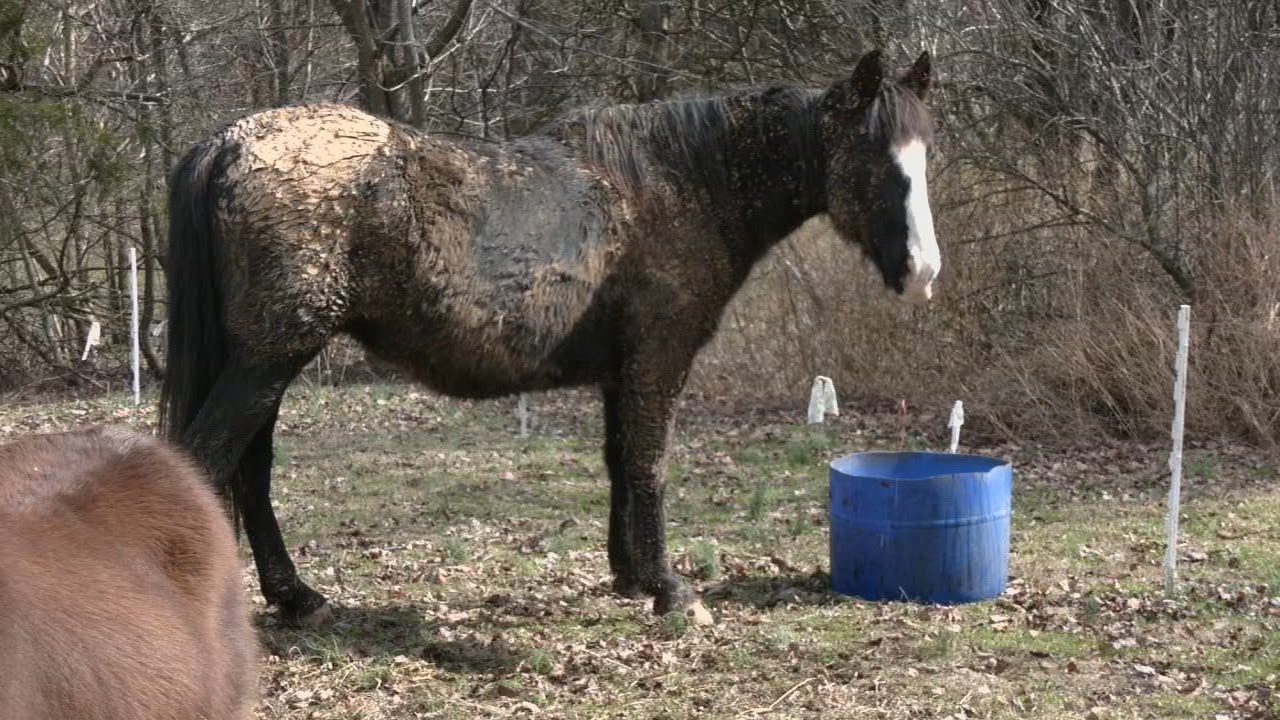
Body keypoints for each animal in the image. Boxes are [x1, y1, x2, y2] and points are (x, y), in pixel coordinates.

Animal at [158, 48, 941, 626]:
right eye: (874, 157)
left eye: (922, 156)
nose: (924, 271)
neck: (679, 184)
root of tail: (228, 143)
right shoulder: (658, 359)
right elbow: (650, 465)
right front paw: (671, 590)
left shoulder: (622, 371)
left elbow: (620, 463)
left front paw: (630, 575)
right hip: (271, 357)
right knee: (210, 459)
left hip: (262, 358)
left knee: (249, 470)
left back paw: (295, 598)